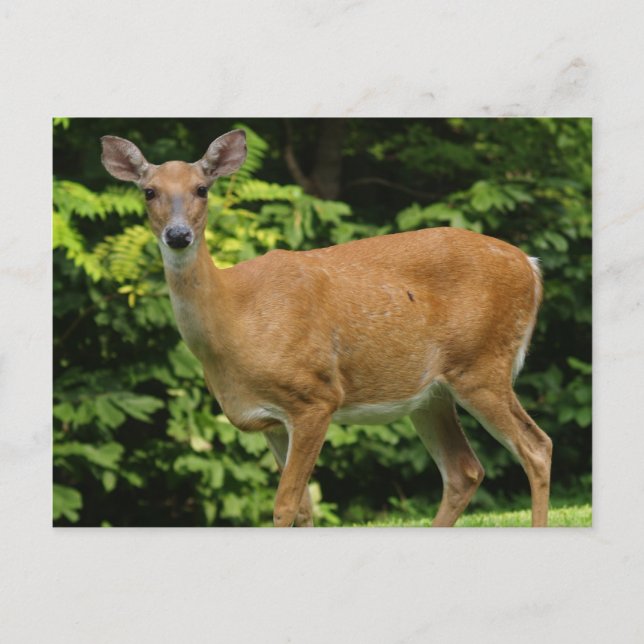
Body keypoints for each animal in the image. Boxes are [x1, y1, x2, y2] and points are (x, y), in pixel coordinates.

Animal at [100, 129, 553, 527]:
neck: (235, 321)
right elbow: (303, 508)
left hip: (482, 364)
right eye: (149, 191)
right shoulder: (268, 419)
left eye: (201, 189)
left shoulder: (315, 397)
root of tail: (530, 266)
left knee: (536, 447)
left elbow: (285, 505)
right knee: (464, 470)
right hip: (430, 394)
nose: (178, 235)